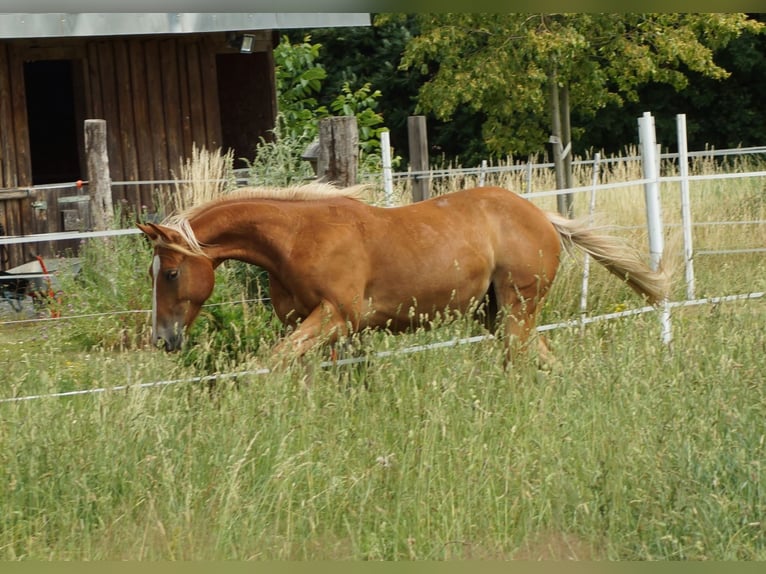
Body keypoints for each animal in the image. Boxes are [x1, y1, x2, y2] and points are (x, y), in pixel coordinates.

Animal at [137, 183, 668, 364]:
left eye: (170, 273)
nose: (163, 338)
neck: (297, 237)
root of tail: (543, 217)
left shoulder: (335, 317)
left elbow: (270, 364)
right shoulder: (314, 327)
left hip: (517, 310)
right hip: (496, 314)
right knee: (544, 361)